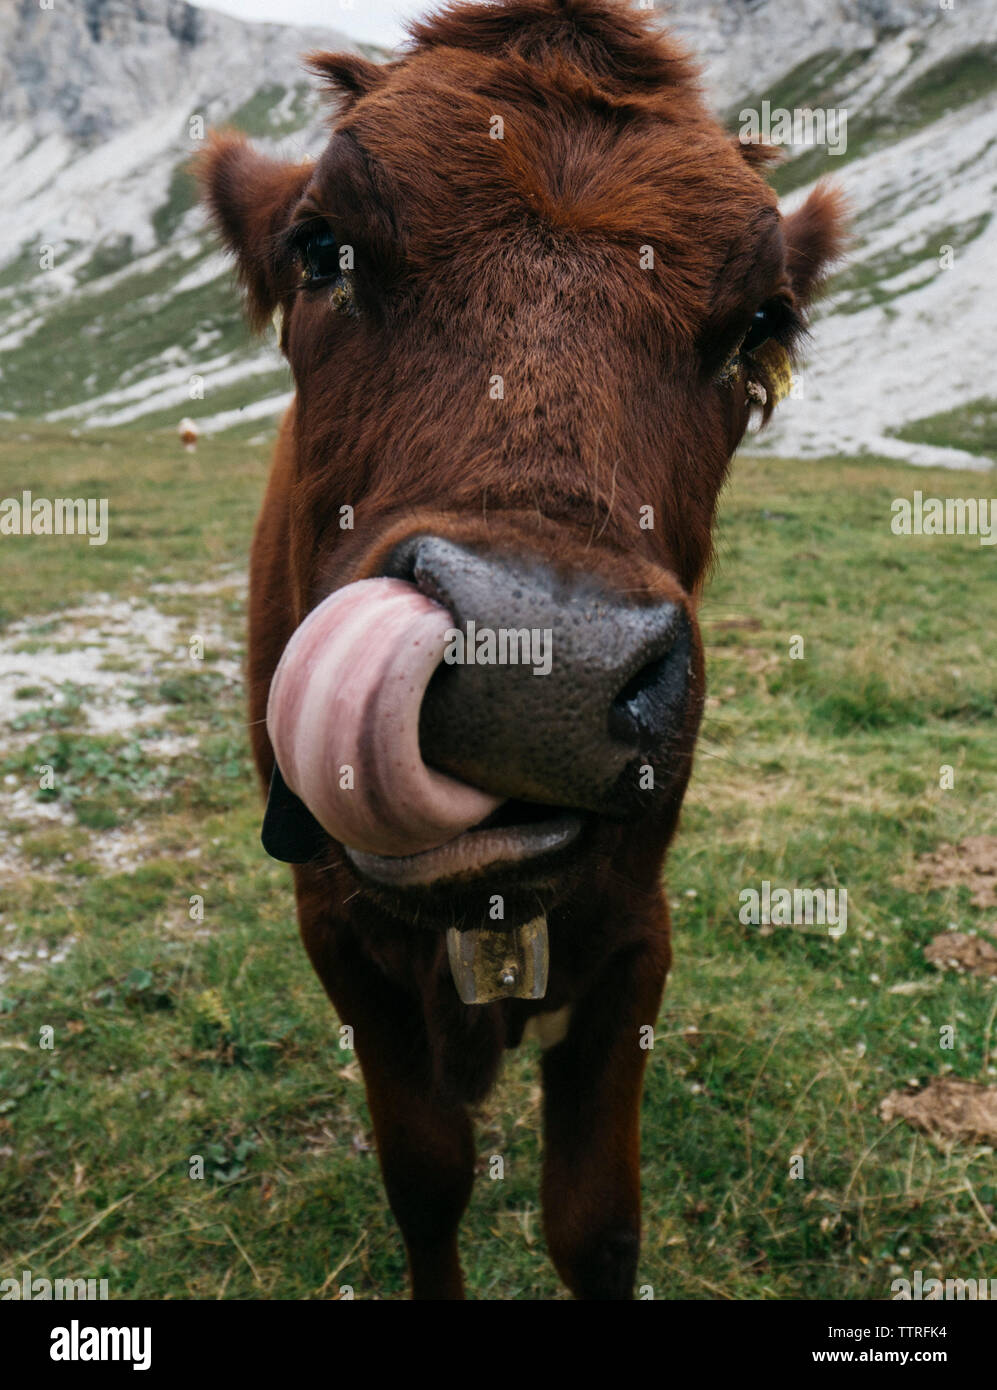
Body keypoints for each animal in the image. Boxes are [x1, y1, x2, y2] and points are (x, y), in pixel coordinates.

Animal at [198, 0, 845, 1301]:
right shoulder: (333, 929)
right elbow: (427, 1176)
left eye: (762, 323)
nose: (538, 670)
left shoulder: (635, 926)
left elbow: (594, 1221)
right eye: (324, 248)